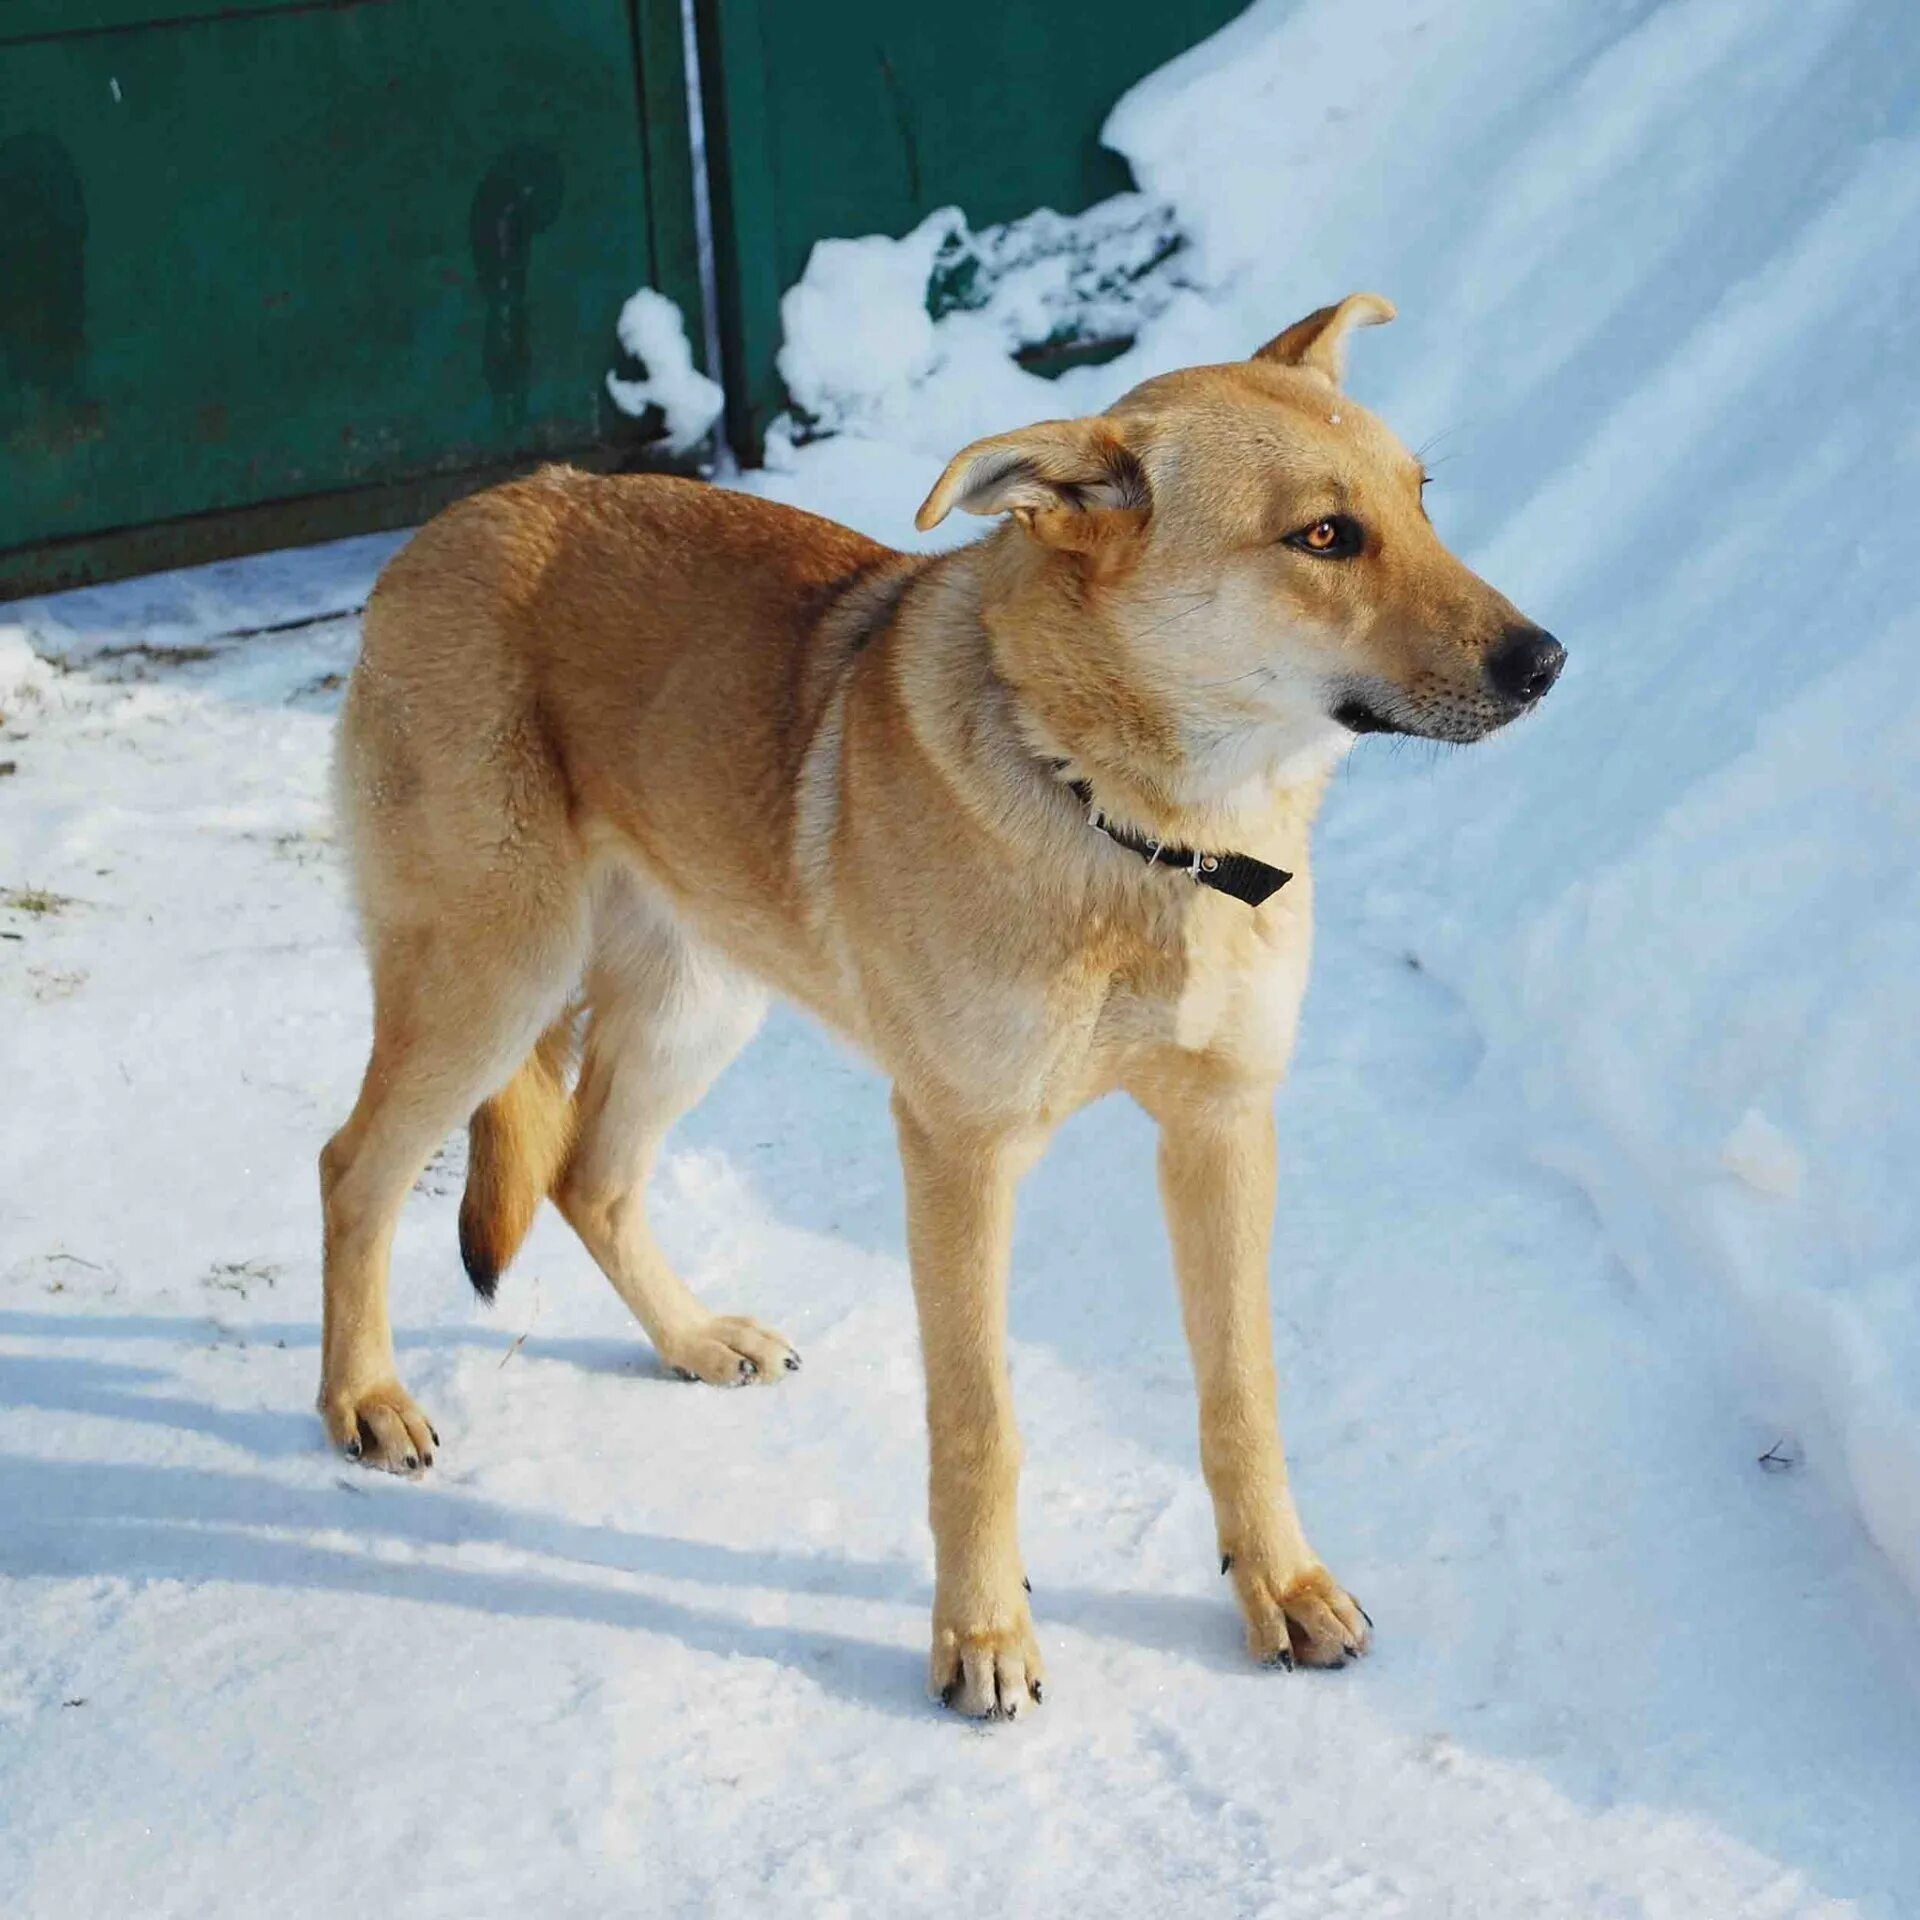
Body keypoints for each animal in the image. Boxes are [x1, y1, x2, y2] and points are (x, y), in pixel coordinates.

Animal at [322, 295, 1566, 1712]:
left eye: (1421, 501)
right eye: (1323, 537)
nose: (1547, 661)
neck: (1137, 826)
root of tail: (458, 518)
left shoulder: (1224, 1128)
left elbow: (1242, 1396)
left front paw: (1283, 1586)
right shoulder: (960, 1153)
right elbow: (980, 1421)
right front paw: (980, 1636)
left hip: (699, 999)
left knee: (591, 1175)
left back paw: (691, 1339)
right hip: (491, 973)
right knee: (355, 1166)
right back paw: (363, 1399)